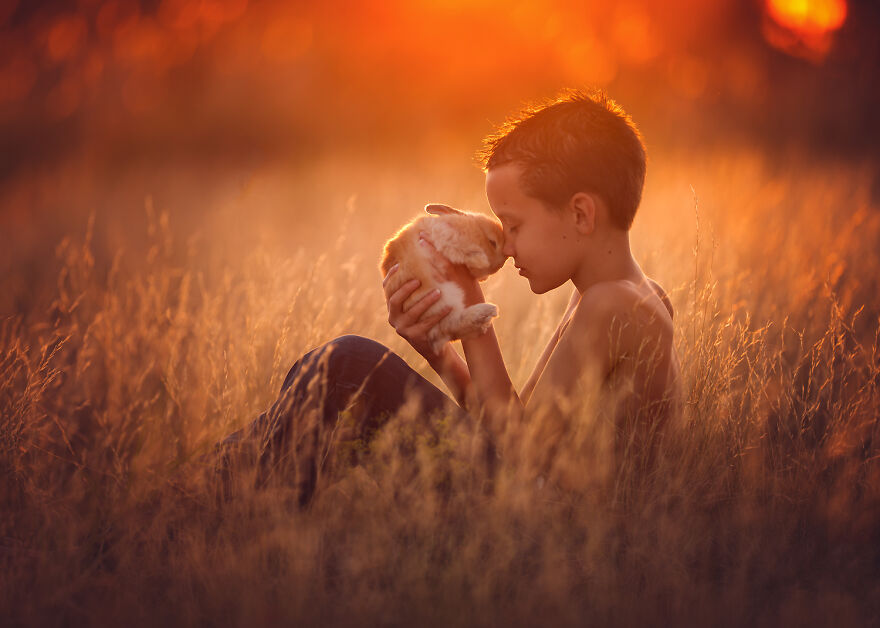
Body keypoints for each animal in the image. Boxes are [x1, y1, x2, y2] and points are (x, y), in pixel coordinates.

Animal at [380, 205, 508, 356]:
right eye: (492, 242)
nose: (498, 266)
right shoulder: (446, 235)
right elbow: (461, 248)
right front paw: (480, 260)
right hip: (443, 300)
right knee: (453, 325)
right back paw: (488, 311)